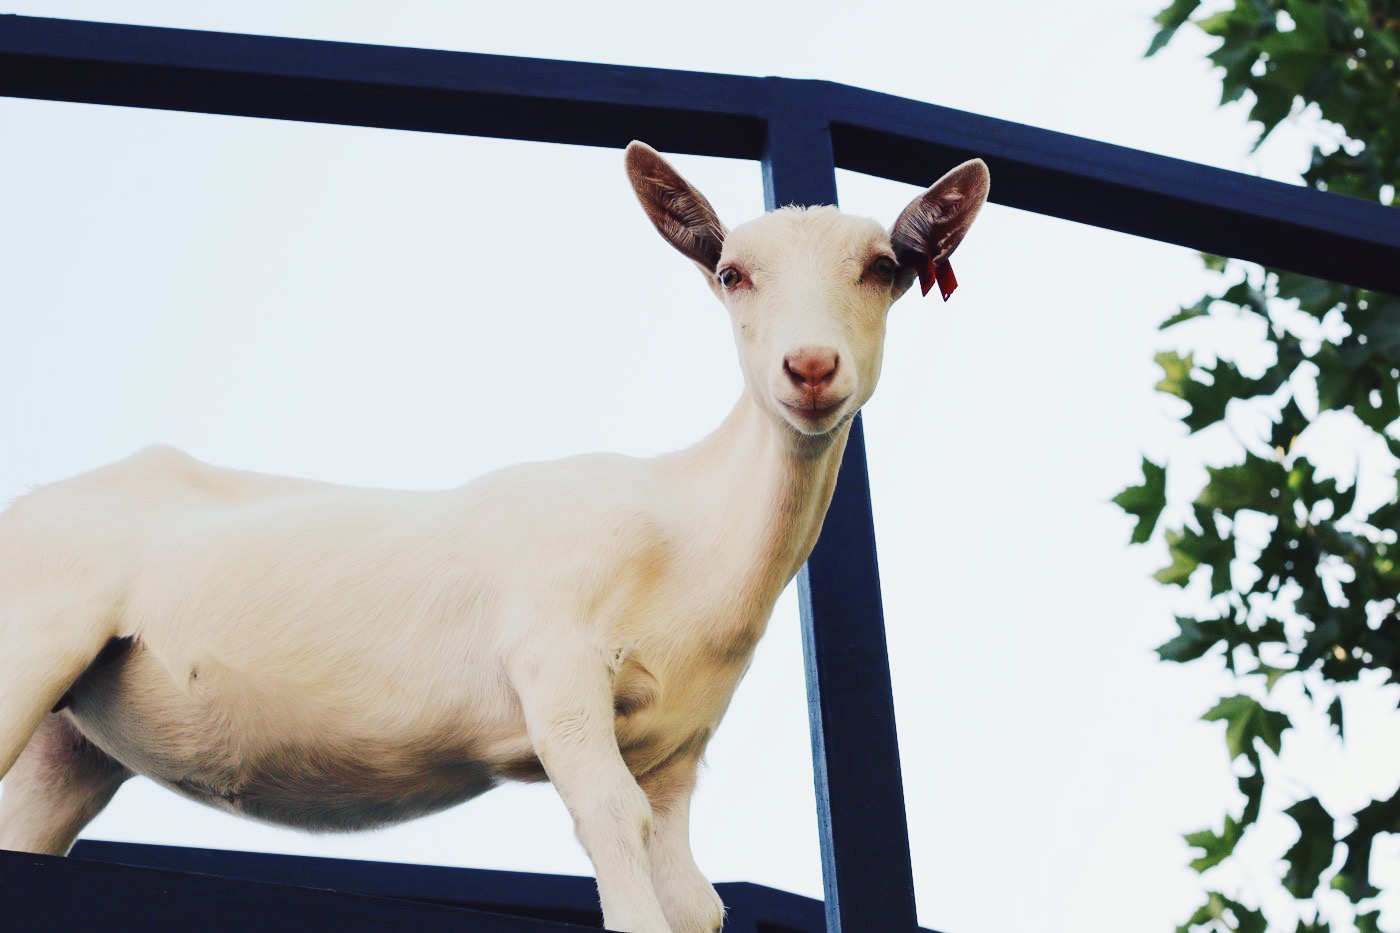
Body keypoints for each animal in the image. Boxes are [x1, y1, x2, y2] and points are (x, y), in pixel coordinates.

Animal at [0, 142, 988, 933]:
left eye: (883, 266)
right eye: (731, 272)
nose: (810, 368)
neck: (690, 530)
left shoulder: (678, 742)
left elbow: (693, 891)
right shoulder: (556, 662)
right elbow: (612, 824)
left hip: (72, 740)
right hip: (32, 636)